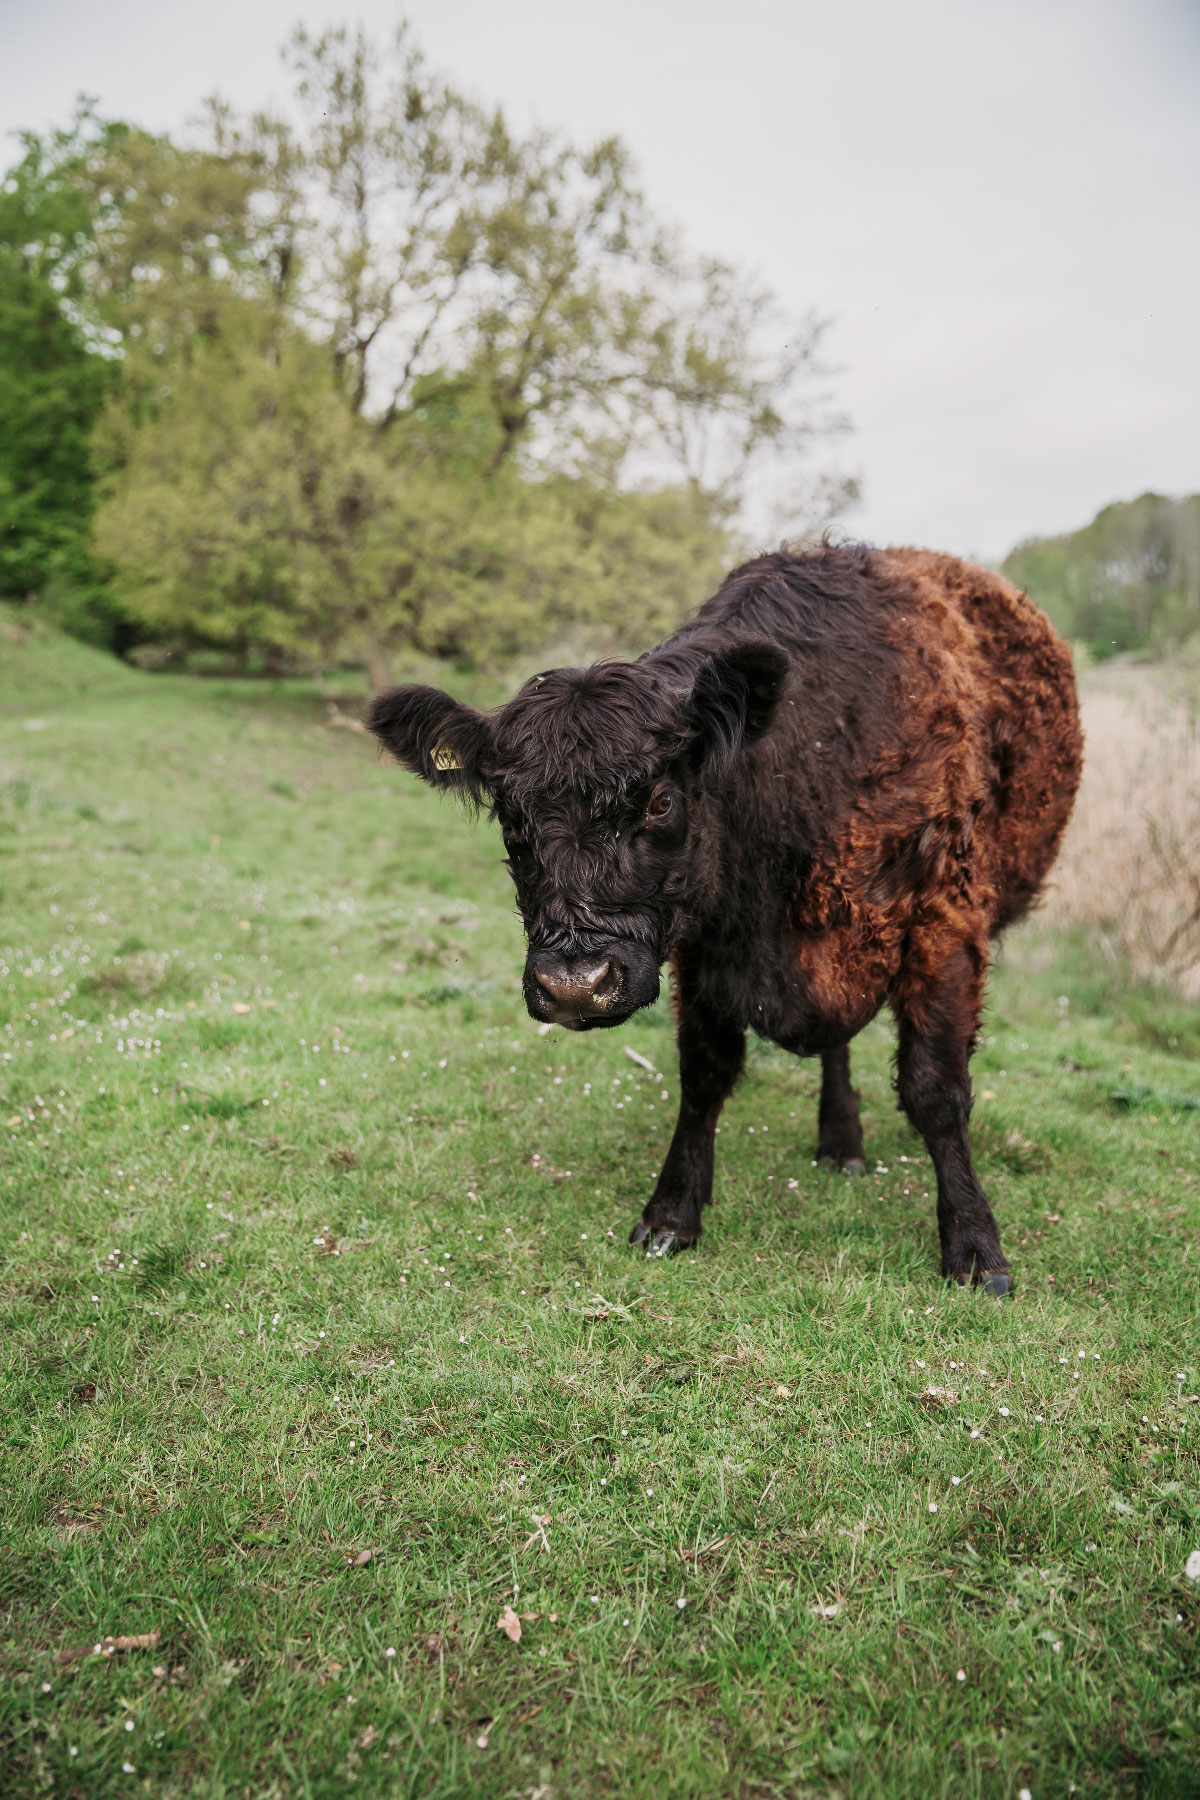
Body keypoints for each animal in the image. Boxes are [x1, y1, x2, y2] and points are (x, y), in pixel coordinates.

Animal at [370, 547, 1086, 1296]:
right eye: (511, 817)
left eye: (660, 801)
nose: (574, 984)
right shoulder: (702, 948)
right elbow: (704, 1077)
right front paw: (672, 1213)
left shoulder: (943, 922)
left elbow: (936, 1091)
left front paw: (975, 1247)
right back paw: (840, 1138)